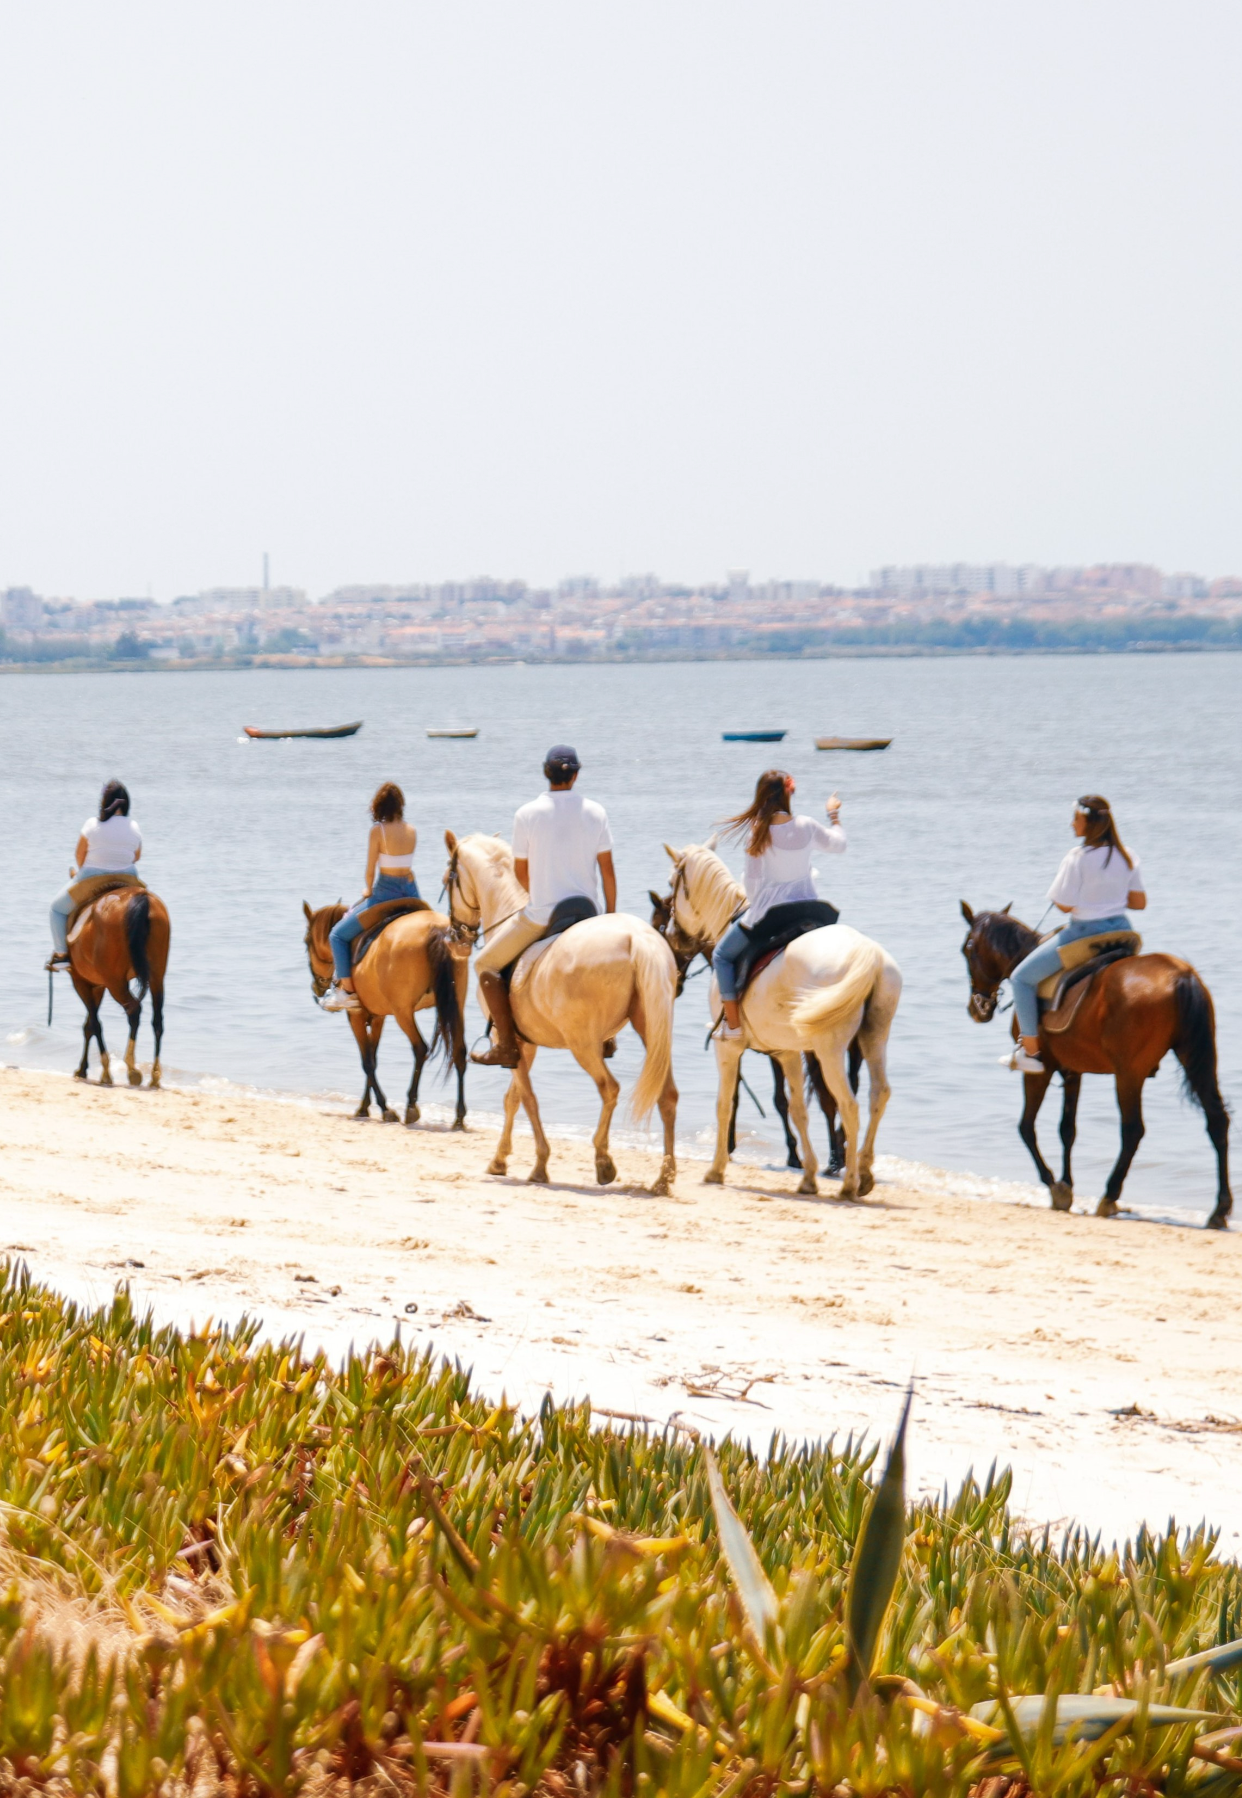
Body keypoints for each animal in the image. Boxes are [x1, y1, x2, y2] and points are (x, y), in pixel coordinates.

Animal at [64, 891, 169, 1085]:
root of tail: (141, 897)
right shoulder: (98, 985)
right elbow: (89, 1026)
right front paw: (83, 1069)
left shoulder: (81, 981)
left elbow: (94, 1024)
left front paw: (103, 1072)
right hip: (156, 977)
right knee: (157, 1020)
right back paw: (154, 1076)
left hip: (115, 982)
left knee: (134, 1009)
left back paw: (132, 1069)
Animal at [305, 906, 470, 1129]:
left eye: (306, 941)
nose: (317, 986)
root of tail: (437, 930)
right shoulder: (378, 1018)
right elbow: (373, 1058)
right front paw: (365, 1107)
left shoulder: (356, 1016)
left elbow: (367, 1062)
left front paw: (384, 1109)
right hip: (455, 1006)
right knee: (459, 1052)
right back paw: (459, 1117)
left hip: (403, 1012)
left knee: (420, 1048)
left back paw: (411, 1106)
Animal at [447, 827, 679, 1193]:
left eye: (449, 877)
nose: (456, 939)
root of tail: (639, 940)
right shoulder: (525, 1043)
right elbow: (514, 1098)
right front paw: (500, 1160)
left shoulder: (511, 1040)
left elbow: (526, 1098)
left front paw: (538, 1164)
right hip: (651, 1031)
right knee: (666, 1095)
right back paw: (663, 1178)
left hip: (582, 1044)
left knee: (609, 1089)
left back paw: (603, 1161)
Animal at [654, 837, 898, 1193]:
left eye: (672, 885)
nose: (671, 940)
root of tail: (868, 954)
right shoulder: (786, 1051)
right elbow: (796, 1108)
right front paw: (807, 1175)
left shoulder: (728, 1047)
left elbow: (725, 1103)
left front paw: (717, 1168)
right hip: (873, 1039)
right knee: (876, 1094)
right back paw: (863, 1171)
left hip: (829, 1050)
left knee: (846, 1103)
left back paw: (848, 1180)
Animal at [956, 906, 1229, 1229]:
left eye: (967, 949)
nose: (977, 1009)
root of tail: (1181, 975)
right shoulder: (1072, 1071)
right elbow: (1067, 1129)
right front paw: (1066, 1184)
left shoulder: (1041, 1069)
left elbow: (1026, 1127)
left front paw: (1054, 1186)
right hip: (1198, 1059)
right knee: (1217, 1120)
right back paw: (1220, 1209)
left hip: (1129, 1074)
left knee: (1133, 1130)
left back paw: (1110, 1195)